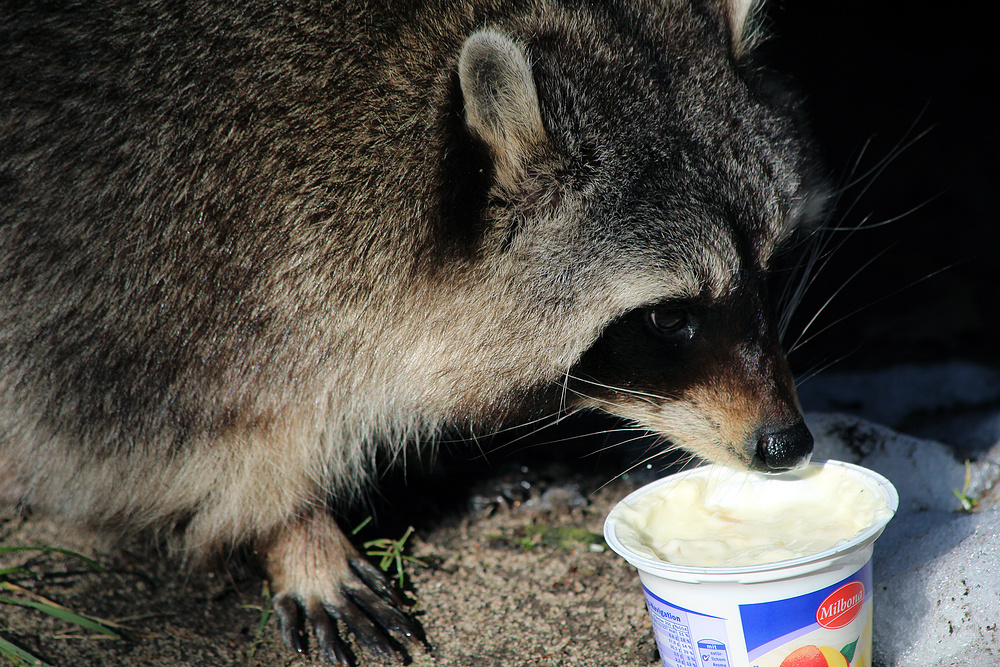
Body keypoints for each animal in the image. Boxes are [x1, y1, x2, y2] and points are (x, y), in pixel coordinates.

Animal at [0, 0, 824, 660]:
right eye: (668, 318)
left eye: (768, 270)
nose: (786, 443)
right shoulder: (146, 244)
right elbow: (138, 410)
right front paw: (290, 523)